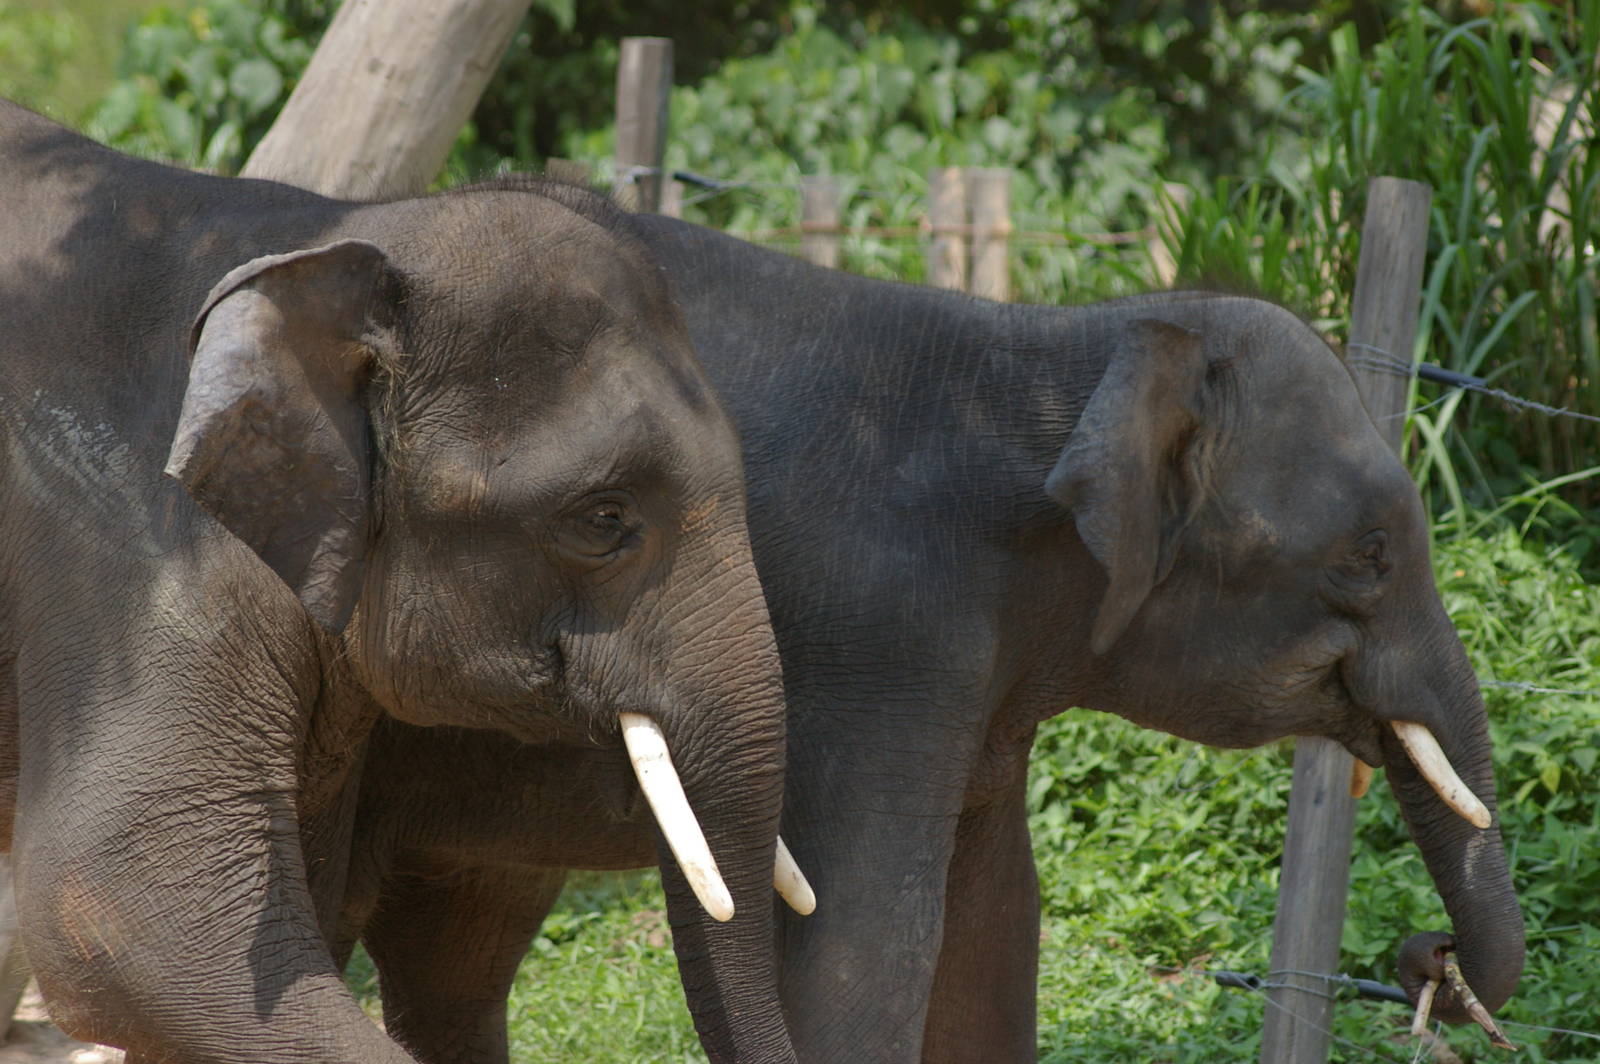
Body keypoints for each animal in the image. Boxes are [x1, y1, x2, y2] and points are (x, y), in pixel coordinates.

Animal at [335, 202, 1524, 1062]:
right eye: (1370, 552)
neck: (1064, 343)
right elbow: (867, 957)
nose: (1428, 959)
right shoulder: (880, 648)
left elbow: (996, 929)